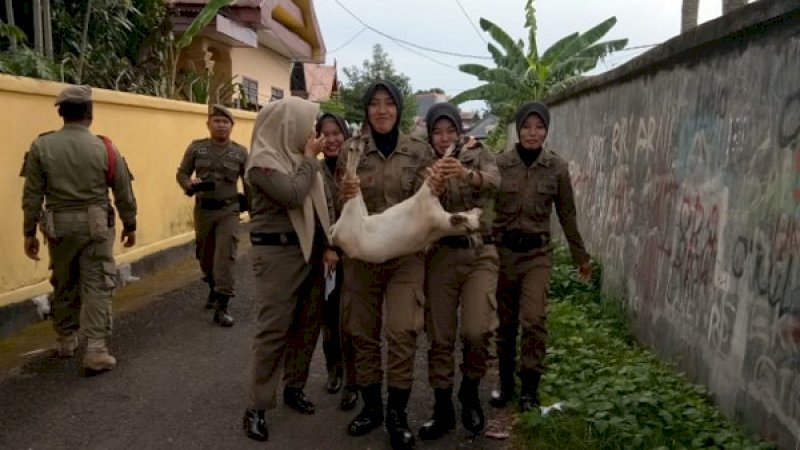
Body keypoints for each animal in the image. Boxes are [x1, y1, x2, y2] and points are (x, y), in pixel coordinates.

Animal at [332, 140, 482, 260]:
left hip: (354, 213)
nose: (479, 213)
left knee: (351, 175)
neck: (439, 224)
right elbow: (441, 165)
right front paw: (454, 147)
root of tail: (334, 235)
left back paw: (356, 146)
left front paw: (453, 148)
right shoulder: (427, 194)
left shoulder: (426, 194)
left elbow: (440, 166)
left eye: (471, 229)